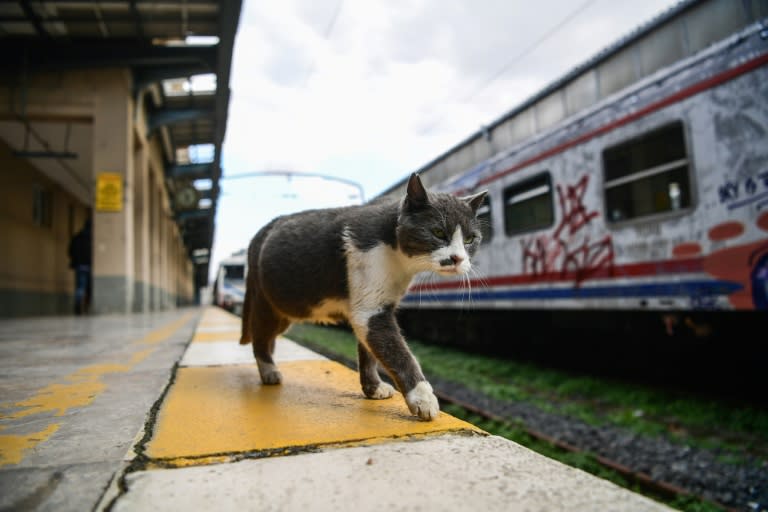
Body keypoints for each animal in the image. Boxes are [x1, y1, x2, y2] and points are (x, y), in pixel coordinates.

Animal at [240, 172, 486, 420]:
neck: (397, 257)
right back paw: (269, 371)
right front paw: (423, 398)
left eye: (470, 239)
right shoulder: (370, 308)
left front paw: (373, 388)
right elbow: (398, 352)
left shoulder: (375, 306)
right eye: (438, 232)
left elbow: (368, 352)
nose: (458, 258)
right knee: (259, 336)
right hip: (269, 304)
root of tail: (259, 234)